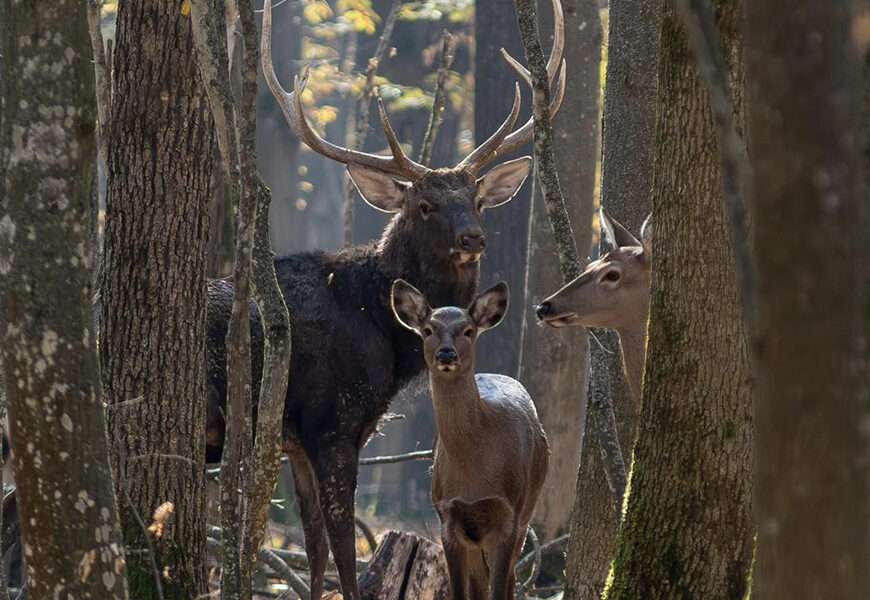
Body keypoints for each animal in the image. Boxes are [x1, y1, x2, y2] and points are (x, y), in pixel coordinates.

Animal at [392, 282, 548, 600]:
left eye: (468, 330)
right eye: (428, 329)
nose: (446, 354)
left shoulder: (508, 514)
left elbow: (498, 589)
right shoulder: (447, 517)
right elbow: (460, 591)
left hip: (527, 509)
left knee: (510, 578)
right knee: (480, 583)